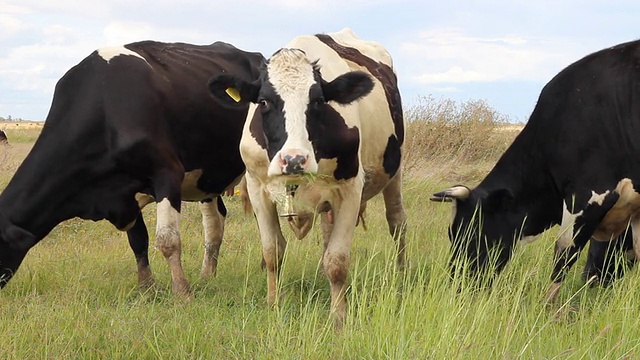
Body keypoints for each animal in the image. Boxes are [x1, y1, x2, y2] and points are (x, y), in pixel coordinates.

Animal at [0, 40, 262, 296]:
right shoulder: (125, 192)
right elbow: (138, 240)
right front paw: (146, 288)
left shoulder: (167, 173)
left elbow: (168, 240)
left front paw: (182, 292)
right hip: (208, 175)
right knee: (214, 223)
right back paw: (206, 276)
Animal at [208, 28, 408, 326]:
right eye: (264, 101)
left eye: (317, 101)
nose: (293, 159)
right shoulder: (257, 188)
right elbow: (272, 252)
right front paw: (273, 304)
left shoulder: (350, 189)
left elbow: (337, 261)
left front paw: (338, 317)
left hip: (394, 171)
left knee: (397, 222)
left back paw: (402, 274)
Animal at [428, 39, 640, 300]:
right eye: (451, 234)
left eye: (471, 232)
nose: (457, 286)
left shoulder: (590, 195)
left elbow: (563, 256)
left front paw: (548, 304)